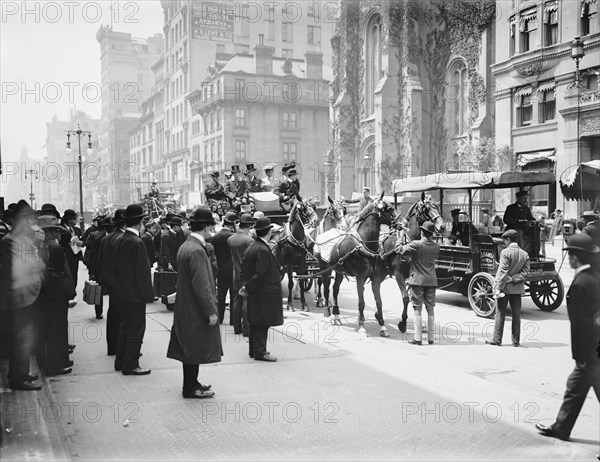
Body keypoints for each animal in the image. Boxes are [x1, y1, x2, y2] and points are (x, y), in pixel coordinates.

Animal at [316, 194, 396, 336]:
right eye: (386, 208)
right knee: (326, 289)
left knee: (335, 290)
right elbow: (361, 303)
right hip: (325, 269)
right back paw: (327, 315)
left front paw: (383, 326)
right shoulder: (360, 278)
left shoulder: (375, 278)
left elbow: (379, 302)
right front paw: (362, 326)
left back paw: (336, 316)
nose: (401, 222)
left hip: (339, 271)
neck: (364, 243)